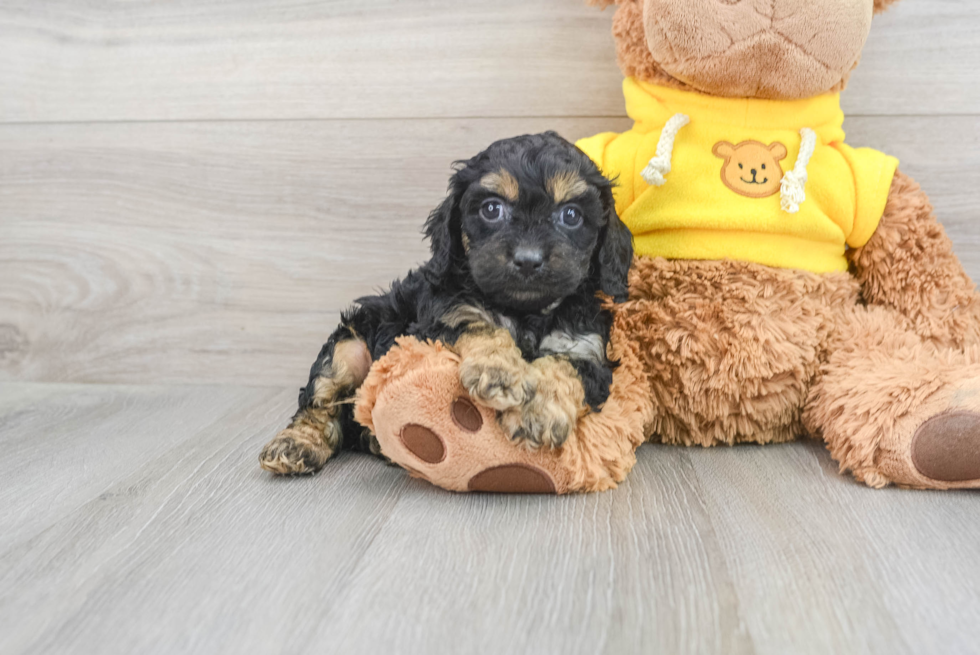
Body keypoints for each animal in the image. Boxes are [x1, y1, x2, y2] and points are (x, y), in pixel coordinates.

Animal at [256, 131, 632, 474]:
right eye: (491, 209)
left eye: (571, 215)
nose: (528, 259)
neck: (525, 312)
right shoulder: (439, 320)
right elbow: (481, 326)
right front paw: (500, 372)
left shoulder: (586, 348)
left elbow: (563, 367)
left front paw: (536, 413)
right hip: (350, 346)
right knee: (320, 400)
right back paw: (297, 443)